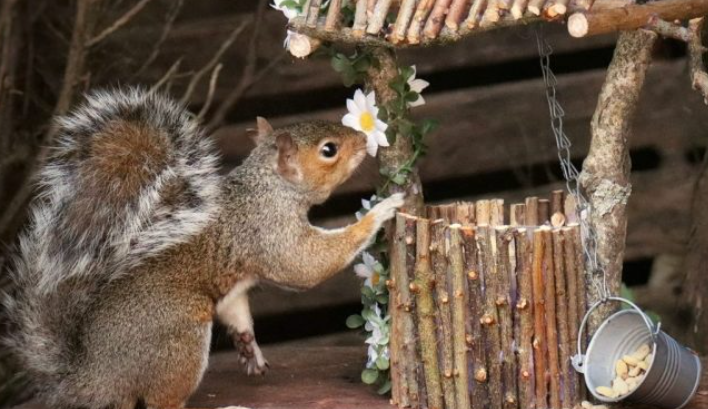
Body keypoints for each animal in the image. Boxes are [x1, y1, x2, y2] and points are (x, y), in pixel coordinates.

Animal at [4, 87, 404, 406]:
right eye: (329, 150)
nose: (363, 141)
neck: (269, 188)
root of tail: (90, 378)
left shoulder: (234, 283)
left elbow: (235, 307)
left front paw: (250, 348)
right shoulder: (269, 232)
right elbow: (307, 265)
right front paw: (381, 211)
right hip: (178, 334)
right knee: (161, 399)